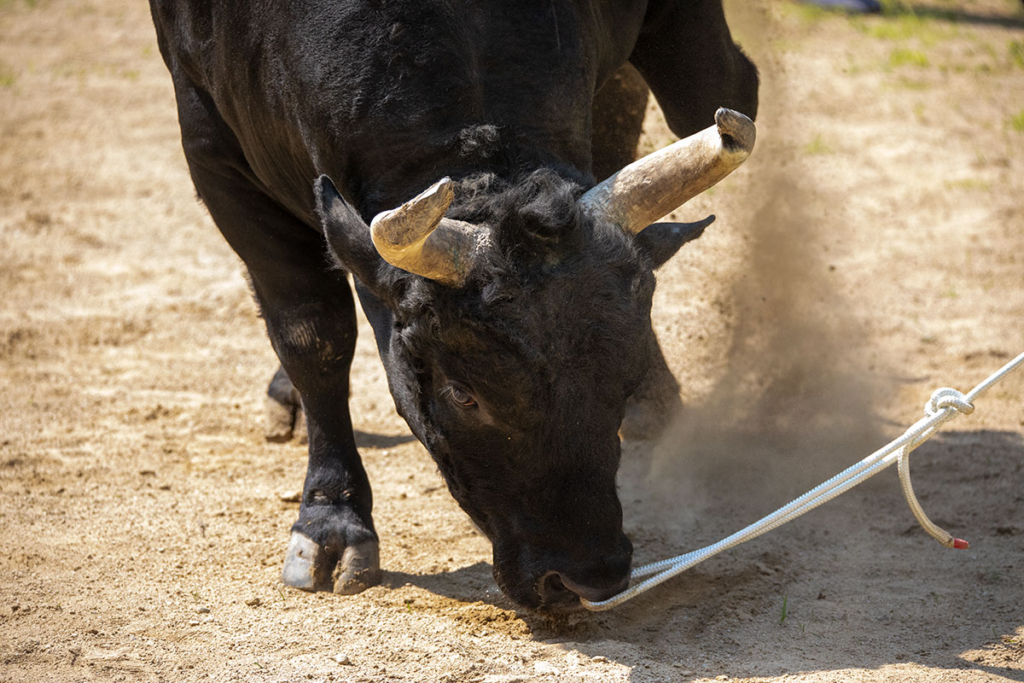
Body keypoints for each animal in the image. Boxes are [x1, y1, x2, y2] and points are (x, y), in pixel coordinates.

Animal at [153, 0, 761, 610]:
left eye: (623, 377)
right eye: (462, 394)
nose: (587, 576)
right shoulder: (214, 155)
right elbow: (312, 336)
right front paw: (331, 521)